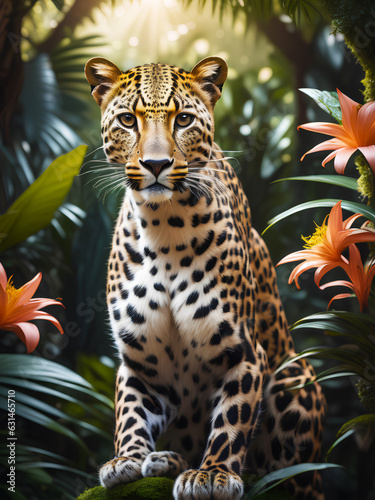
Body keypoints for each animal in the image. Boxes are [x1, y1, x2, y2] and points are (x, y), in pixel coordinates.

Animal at [85, 55, 326, 500]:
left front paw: (213, 474)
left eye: (183, 120)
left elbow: (233, 418)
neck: (162, 226)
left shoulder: (244, 352)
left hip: (295, 377)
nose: (156, 165)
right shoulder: (140, 361)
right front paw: (127, 459)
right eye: (127, 120)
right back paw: (164, 459)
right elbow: (130, 411)